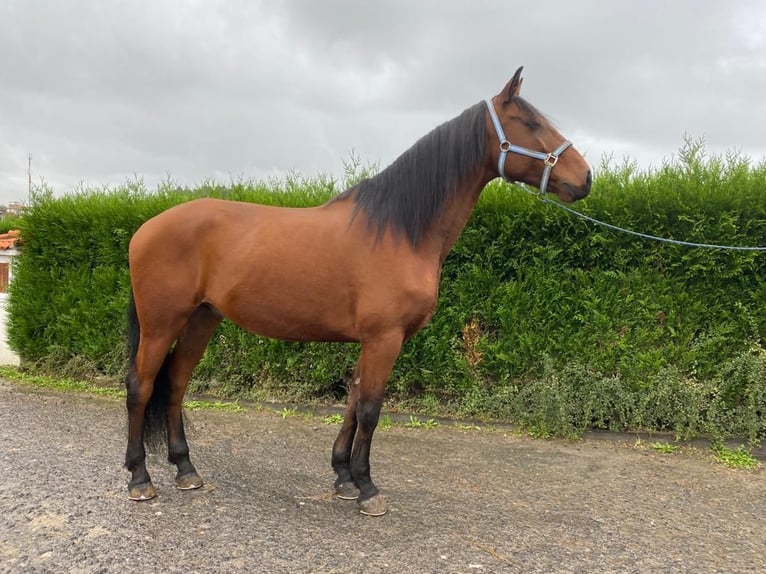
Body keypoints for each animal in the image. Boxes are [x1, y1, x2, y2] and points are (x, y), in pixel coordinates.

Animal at [124, 66, 592, 516]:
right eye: (530, 123)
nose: (585, 178)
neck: (400, 231)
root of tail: (146, 228)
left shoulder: (374, 340)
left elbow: (353, 400)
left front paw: (344, 478)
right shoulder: (384, 337)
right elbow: (369, 408)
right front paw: (367, 488)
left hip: (201, 319)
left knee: (176, 383)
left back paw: (186, 469)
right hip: (161, 323)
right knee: (141, 386)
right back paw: (139, 479)